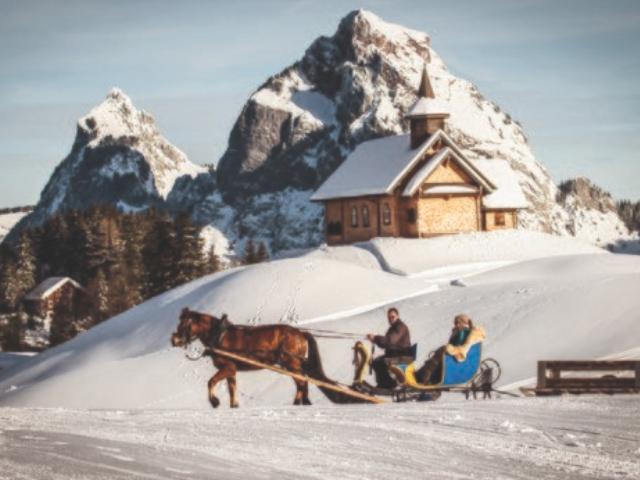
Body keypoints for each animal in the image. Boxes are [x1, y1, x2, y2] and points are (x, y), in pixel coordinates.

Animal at [170, 308, 336, 408]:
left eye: (184, 325)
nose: (174, 340)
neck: (219, 336)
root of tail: (301, 333)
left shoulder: (227, 367)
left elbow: (211, 382)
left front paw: (215, 402)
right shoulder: (232, 371)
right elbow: (232, 390)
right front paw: (234, 406)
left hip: (291, 363)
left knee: (301, 382)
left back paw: (297, 402)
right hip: (293, 364)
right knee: (303, 380)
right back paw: (304, 402)